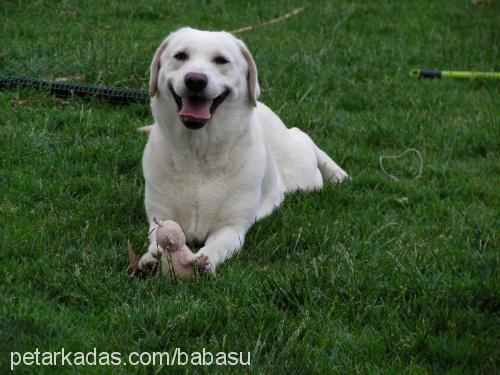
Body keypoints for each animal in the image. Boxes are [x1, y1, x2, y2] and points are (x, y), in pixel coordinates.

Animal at [137, 26, 348, 274]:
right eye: (180, 56)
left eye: (221, 60)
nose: (195, 80)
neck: (200, 151)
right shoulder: (159, 217)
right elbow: (157, 236)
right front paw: (152, 257)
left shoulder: (232, 228)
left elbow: (217, 245)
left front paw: (203, 262)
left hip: (304, 174)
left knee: (303, 137)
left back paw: (336, 173)